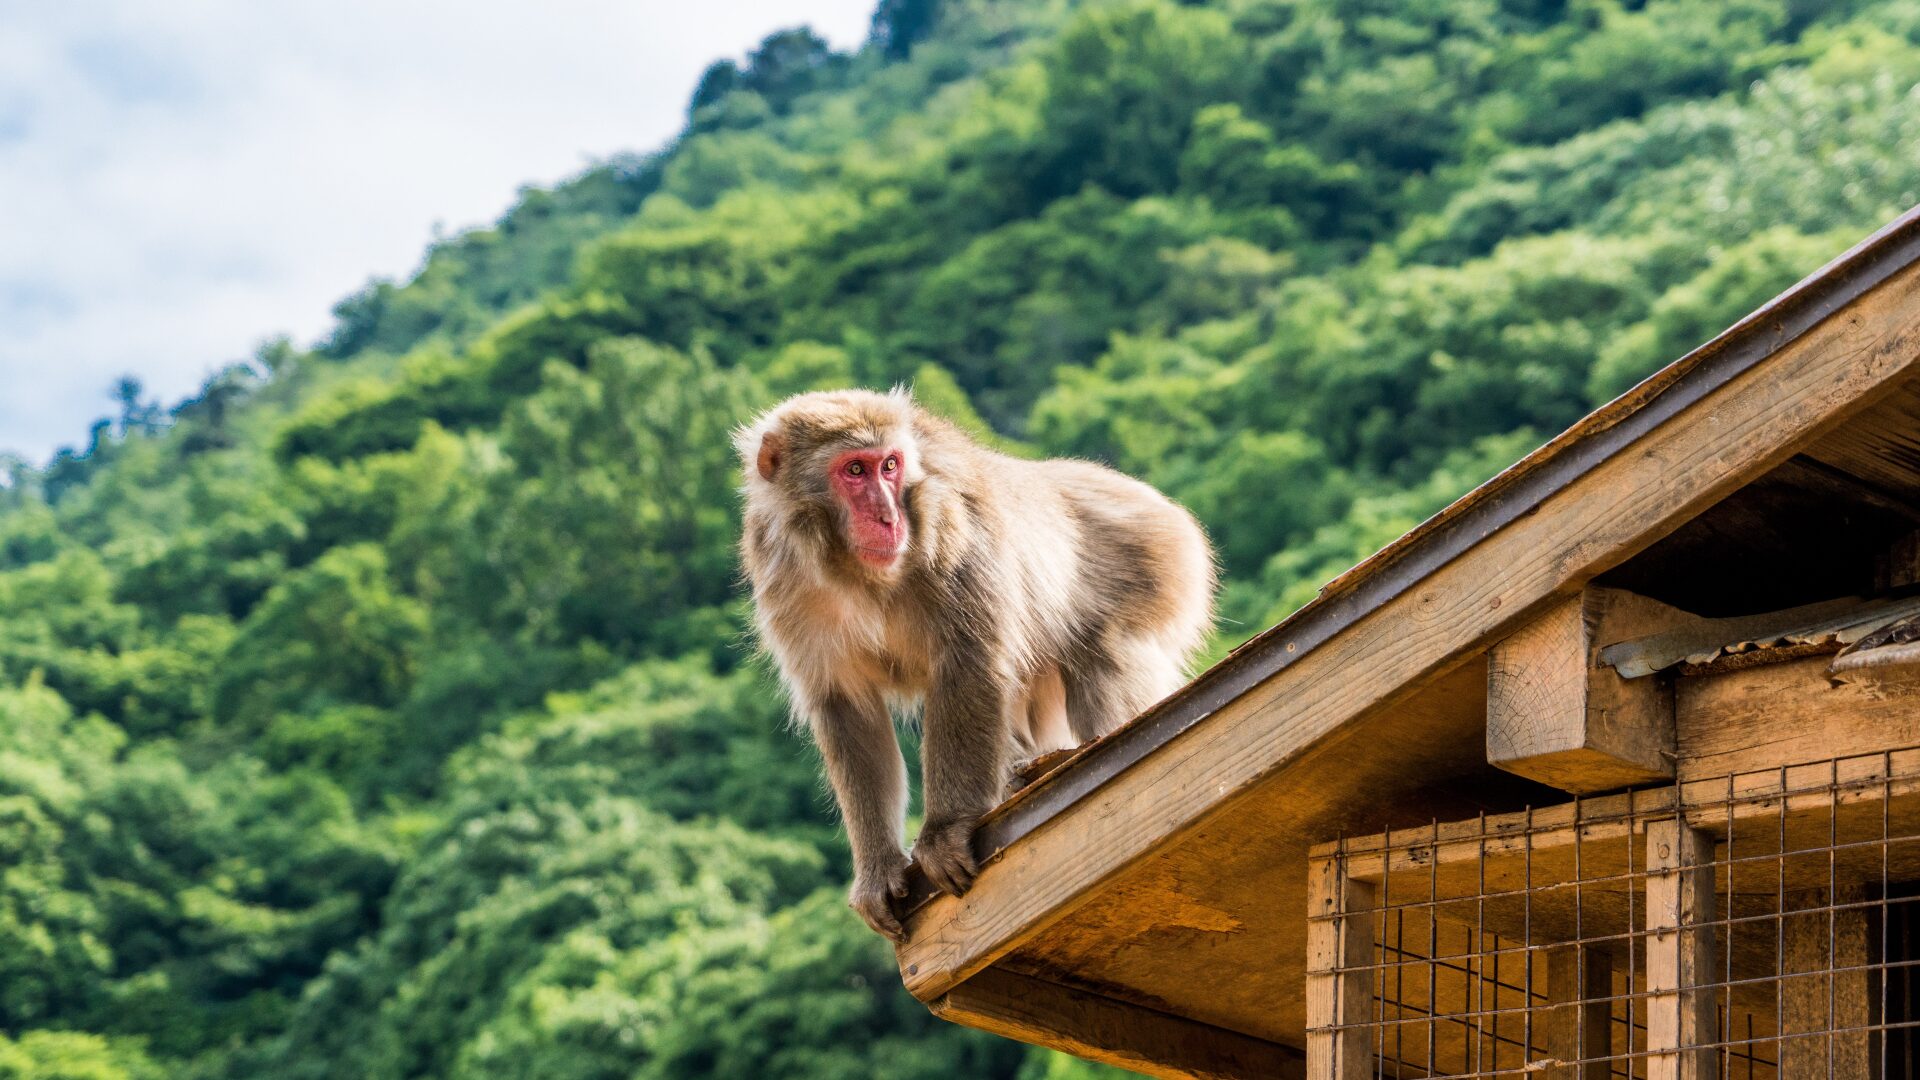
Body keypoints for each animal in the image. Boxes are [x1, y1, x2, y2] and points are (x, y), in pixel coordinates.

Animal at [733, 384, 1213, 933]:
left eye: (890, 465)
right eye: (854, 470)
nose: (889, 517)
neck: (856, 570)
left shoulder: (954, 532)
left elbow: (969, 665)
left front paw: (944, 832)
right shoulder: (784, 578)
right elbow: (847, 708)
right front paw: (877, 867)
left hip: (1160, 564)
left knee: (1104, 655)